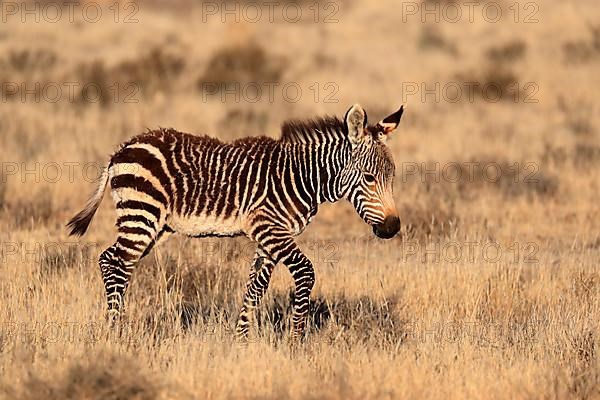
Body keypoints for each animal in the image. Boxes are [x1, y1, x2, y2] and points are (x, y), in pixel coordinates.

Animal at [68, 103, 404, 340]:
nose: (393, 228)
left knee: (109, 258)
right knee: (117, 263)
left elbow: (256, 287)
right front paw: (296, 340)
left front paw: (241, 339)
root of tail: (123, 148)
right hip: (142, 213)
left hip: (156, 225)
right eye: (369, 178)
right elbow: (305, 273)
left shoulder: (269, 237)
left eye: (392, 178)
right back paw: (115, 329)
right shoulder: (270, 229)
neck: (300, 177)